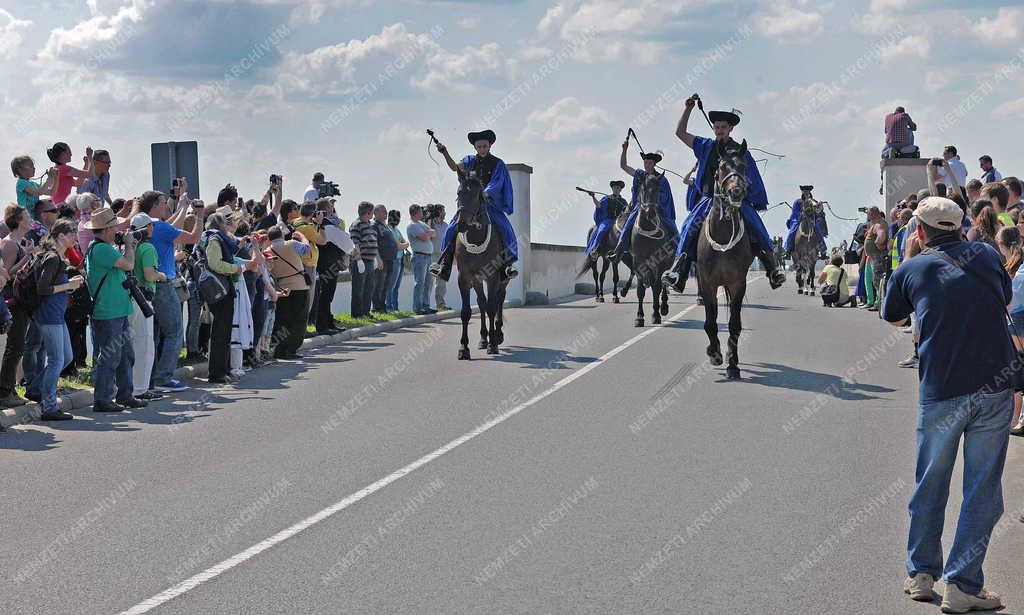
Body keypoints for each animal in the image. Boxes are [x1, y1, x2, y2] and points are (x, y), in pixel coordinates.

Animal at [454, 169, 509, 360]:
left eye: (476, 195)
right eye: (459, 193)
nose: (461, 223)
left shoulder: (493, 277)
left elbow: (492, 307)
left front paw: (493, 344)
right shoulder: (464, 278)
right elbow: (466, 312)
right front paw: (464, 348)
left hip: (503, 279)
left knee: (499, 300)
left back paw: (497, 335)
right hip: (478, 280)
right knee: (482, 302)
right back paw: (484, 338)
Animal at [626, 171, 675, 325]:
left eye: (659, 190)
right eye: (643, 189)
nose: (650, 213)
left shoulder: (659, 263)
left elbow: (657, 287)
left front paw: (656, 315)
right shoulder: (638, 263)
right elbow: (640, 290)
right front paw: (639, 317)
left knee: (662, 283)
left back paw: (663, 307)